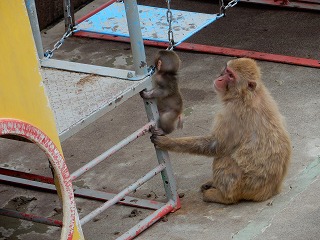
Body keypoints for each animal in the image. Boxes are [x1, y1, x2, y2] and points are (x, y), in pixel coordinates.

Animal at [151, 58, 292, 204]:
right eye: (226, 71)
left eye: (231, 76)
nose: (220, 78)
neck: (244, 94)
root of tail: (269, 191)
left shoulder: (231, 112)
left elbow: (216, 145)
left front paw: (167, 142)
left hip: (246, 186)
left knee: (224, 157)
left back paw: (222, 196)